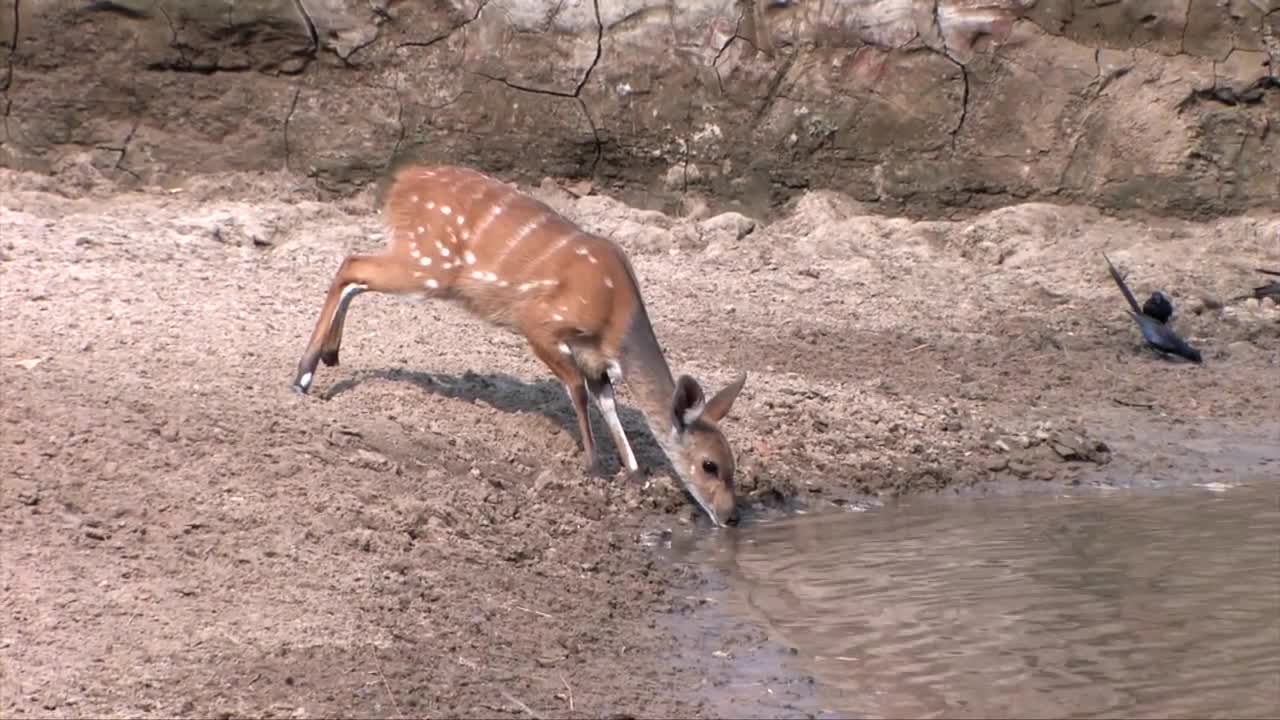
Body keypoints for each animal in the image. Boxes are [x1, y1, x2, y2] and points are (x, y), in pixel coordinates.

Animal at [293, 162, 747, 525]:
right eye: (709, 465)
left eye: (733, 465)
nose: (730, 518)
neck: (615, 315)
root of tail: (402, 181)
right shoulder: (538, 325)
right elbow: (577, 391)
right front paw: (594, 466)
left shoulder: (596, 361)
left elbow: (608, 403)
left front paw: (633, 471)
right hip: (428, 266)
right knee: (352, 263)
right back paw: (303, 376)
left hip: (421, 265)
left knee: (355, 273)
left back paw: (329, 356)